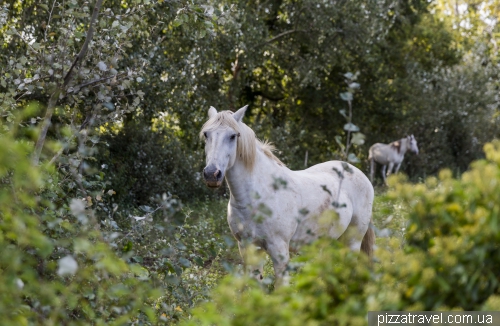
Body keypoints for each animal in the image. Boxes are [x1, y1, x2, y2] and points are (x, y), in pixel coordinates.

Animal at [201, 105, 374, 284]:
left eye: (233, 136)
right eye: (206, 134)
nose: (212, 174)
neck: (257, 198)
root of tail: (357, 172)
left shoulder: (279, 250)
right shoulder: (248, 248)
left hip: (353, 239)